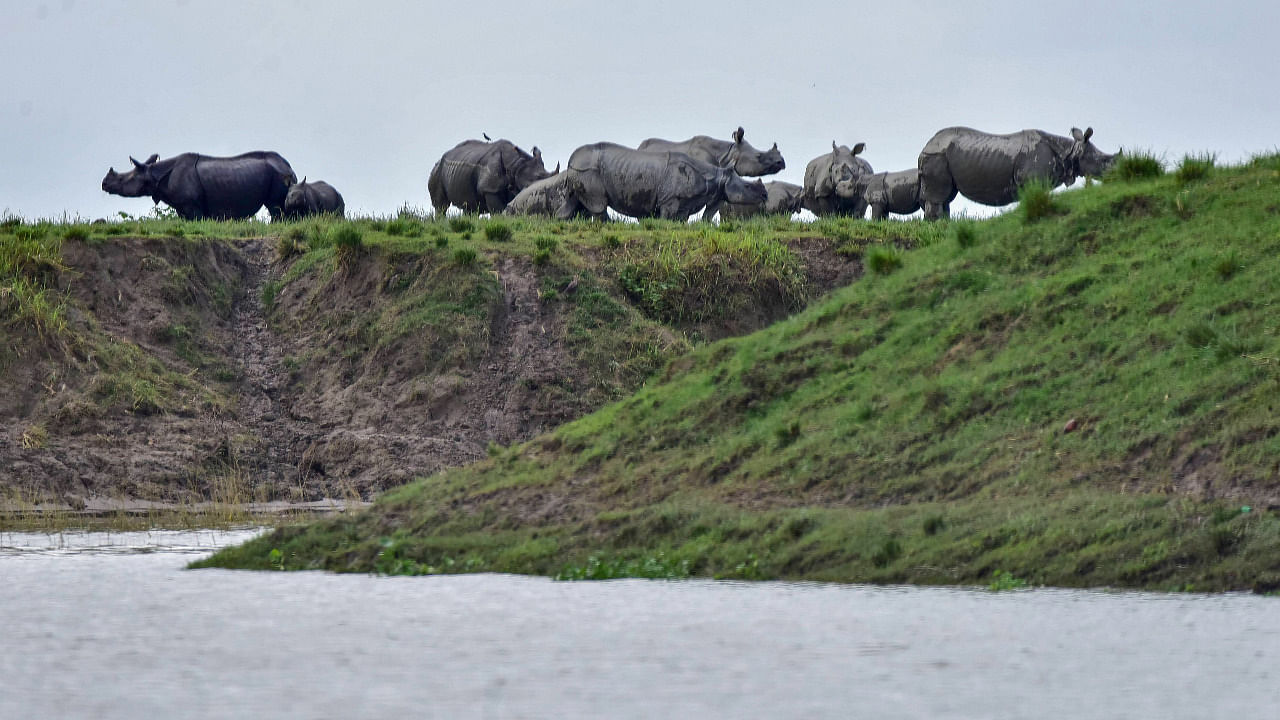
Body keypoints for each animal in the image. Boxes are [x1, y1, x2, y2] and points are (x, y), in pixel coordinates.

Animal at [100, 149, 296, 217]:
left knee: (274, 206)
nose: (104, 184)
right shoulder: (181, 207)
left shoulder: (192, 206)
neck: (153, 174)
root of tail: (289, 166)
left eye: (123, 179)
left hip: (278, 175)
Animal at [555, 139, 762, 219]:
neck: (717, 177)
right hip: (588, 170)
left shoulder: (684, 202)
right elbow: (667, 218)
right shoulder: (669, 200)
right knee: (598, 204)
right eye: (747, 186)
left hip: (580, 170)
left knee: (575, 203)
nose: (765, 196)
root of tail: (570, 161)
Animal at [921, 124, 1121, 219]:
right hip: (936, 156)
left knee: (946, 198)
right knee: (938, 198)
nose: (1114, 175)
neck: (1071, 152)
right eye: (1103, 161)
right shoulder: (1030, 180)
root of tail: (926, 145)